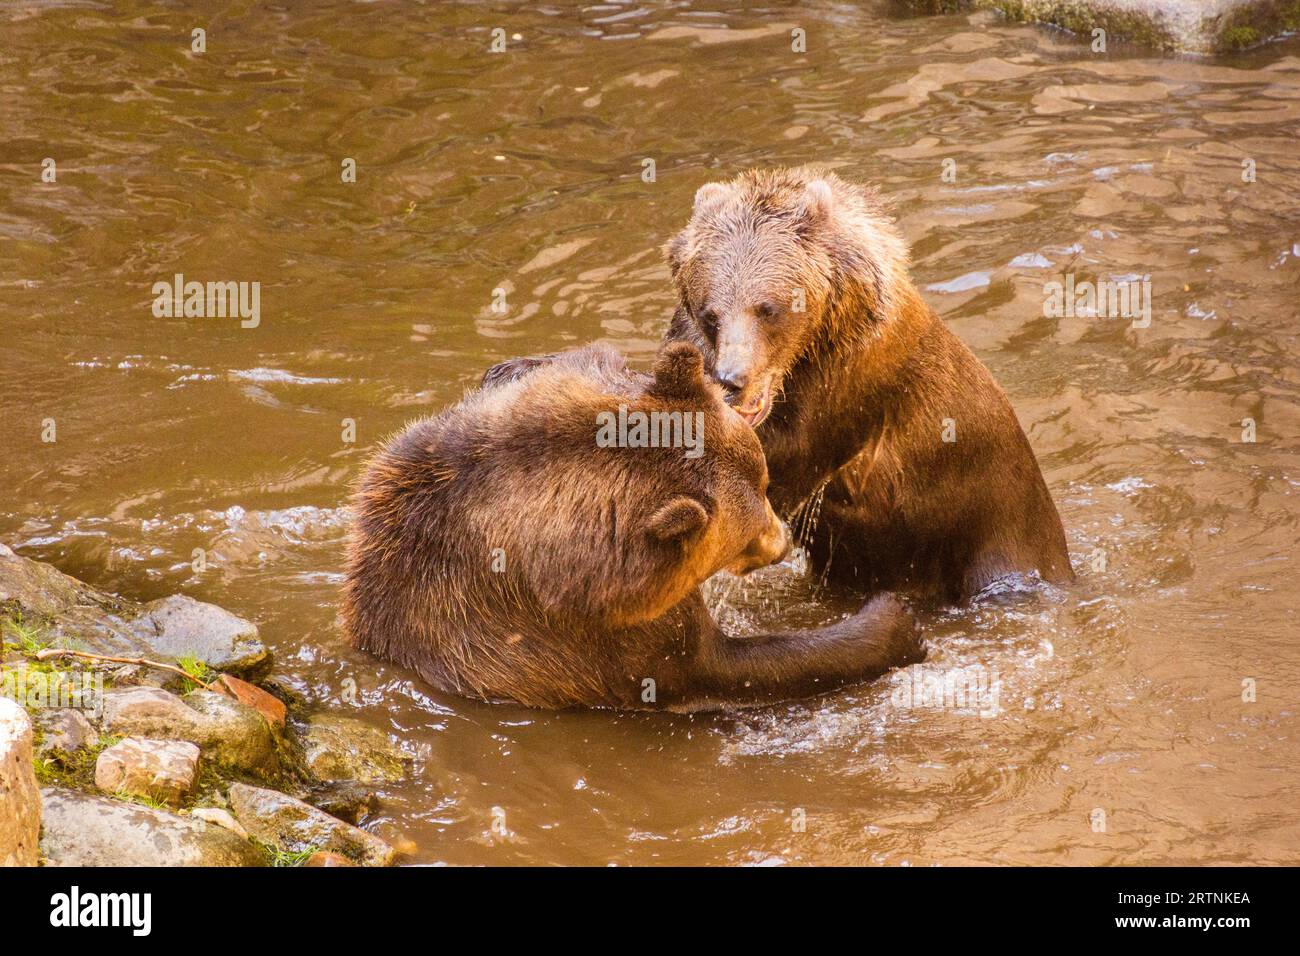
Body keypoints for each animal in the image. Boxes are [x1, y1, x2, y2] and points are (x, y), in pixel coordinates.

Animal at [340, 338, 920, 712]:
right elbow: (722, 666)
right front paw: (893, 620)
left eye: (762, 477)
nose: (780, 540)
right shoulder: (582, 629)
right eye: (748, 526)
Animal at [665, 164, 1071, 598]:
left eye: (767, 309)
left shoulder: (853, 377)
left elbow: (793, 453)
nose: (731, 379)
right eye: (710, 314)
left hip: (996, 526)